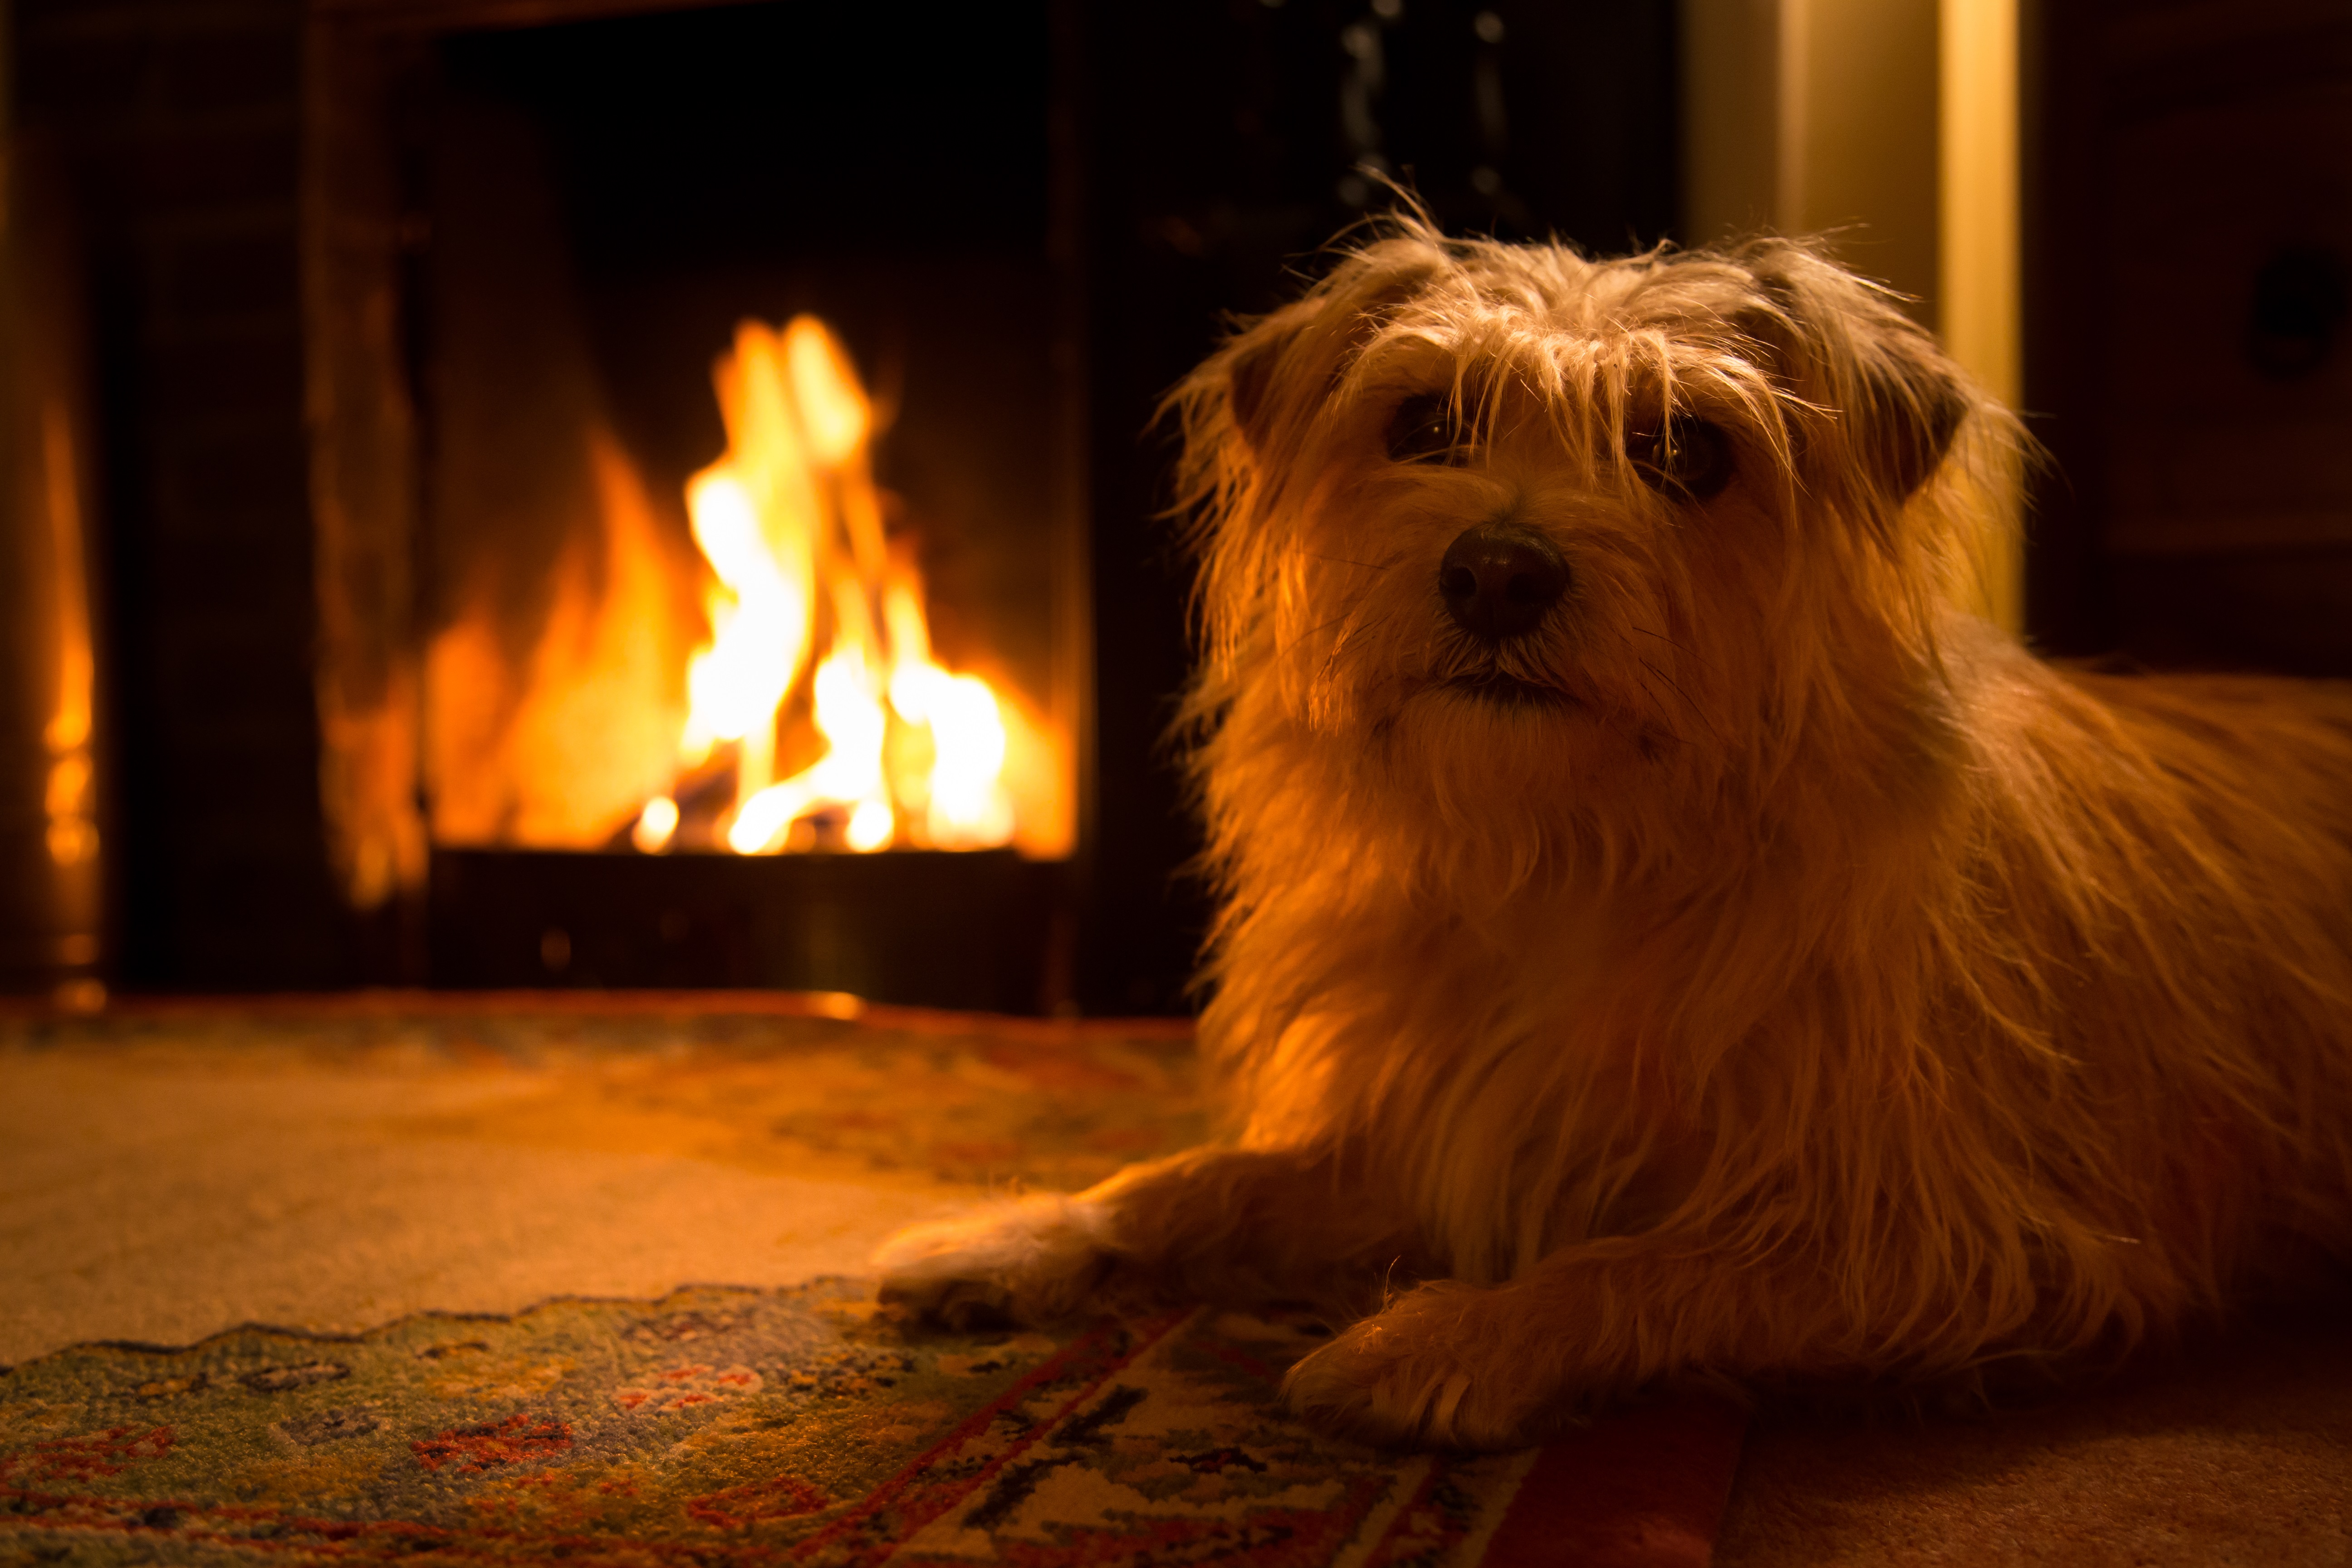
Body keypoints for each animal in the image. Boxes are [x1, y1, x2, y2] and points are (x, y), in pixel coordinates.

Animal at [875, 221, 2352, 1448]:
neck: (1574, 845)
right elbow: (1204, 1176)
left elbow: (1639, 1263)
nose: (1495, 573)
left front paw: (1450, 1336)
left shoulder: (1951, 1238)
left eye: (1685, 452)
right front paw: (1032, 1230)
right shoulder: (1440, 1127)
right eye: (1426, 421)